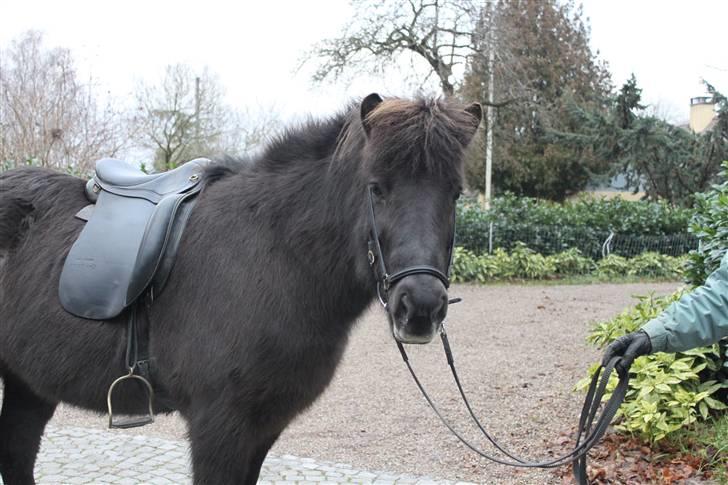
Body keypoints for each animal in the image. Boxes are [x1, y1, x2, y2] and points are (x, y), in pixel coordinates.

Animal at [1, 94, 484, 484]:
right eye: (376, 188)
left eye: (456, 194)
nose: (420, 307)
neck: (273, 255)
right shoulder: (219, 426)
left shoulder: (263, 426)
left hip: (28, 384)